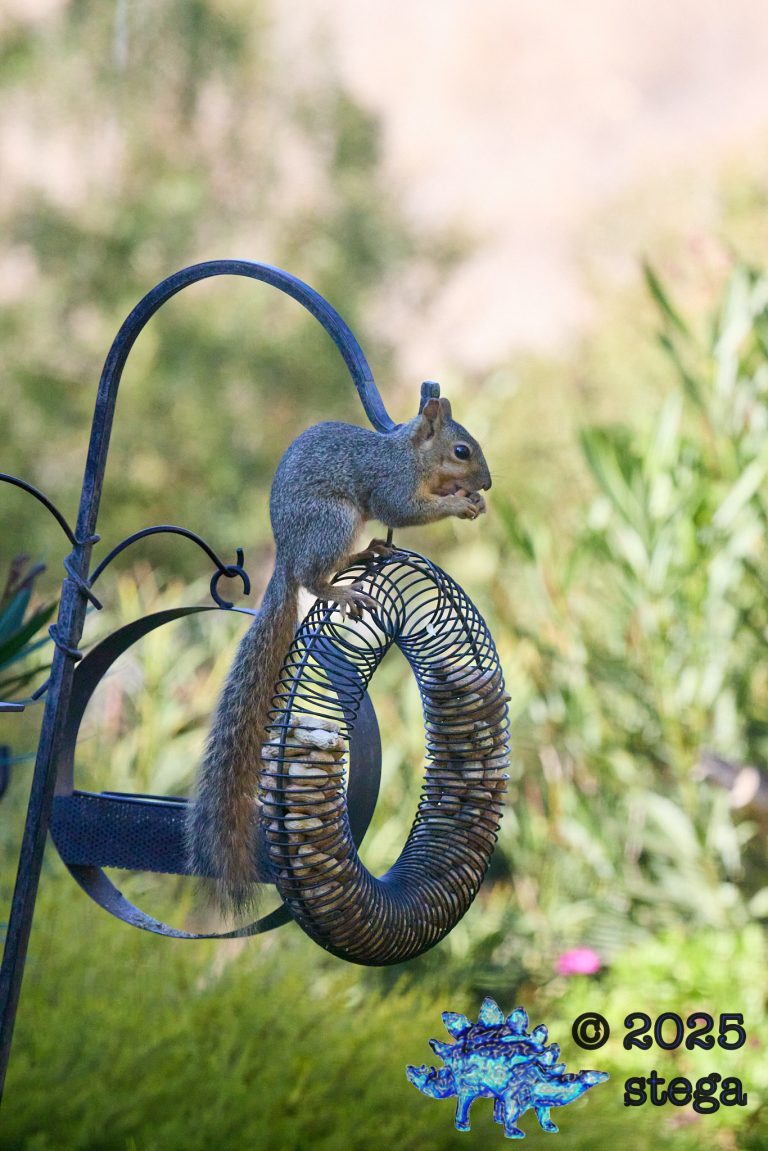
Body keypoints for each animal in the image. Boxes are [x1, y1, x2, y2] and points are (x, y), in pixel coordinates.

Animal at [186, 394, 492, 916]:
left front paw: (471, 500)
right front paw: (457, 503)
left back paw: (365, 554)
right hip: (333, 521)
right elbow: (405, 510)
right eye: (461, 450)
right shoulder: (391, 484)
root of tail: (287, 552)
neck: (410, 456)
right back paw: (341, 588)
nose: (486, 484)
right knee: (313, 578)